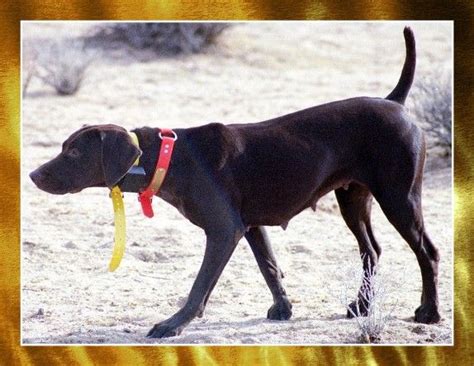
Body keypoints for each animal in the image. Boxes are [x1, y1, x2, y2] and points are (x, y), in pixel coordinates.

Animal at [29, 27, 440, 338]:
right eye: (64, 147)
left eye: (74, 152)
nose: (33, 175)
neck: (167, 157)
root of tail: (396, 102)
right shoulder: (251, 225)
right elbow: (270, 267)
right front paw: (283, 307)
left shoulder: (224, 230)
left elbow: (199, 287)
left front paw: (172, 325)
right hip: (353, 199)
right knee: (372, 250)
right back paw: (361, 306)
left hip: (399, 197)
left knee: (428, 252)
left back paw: (429, 313)